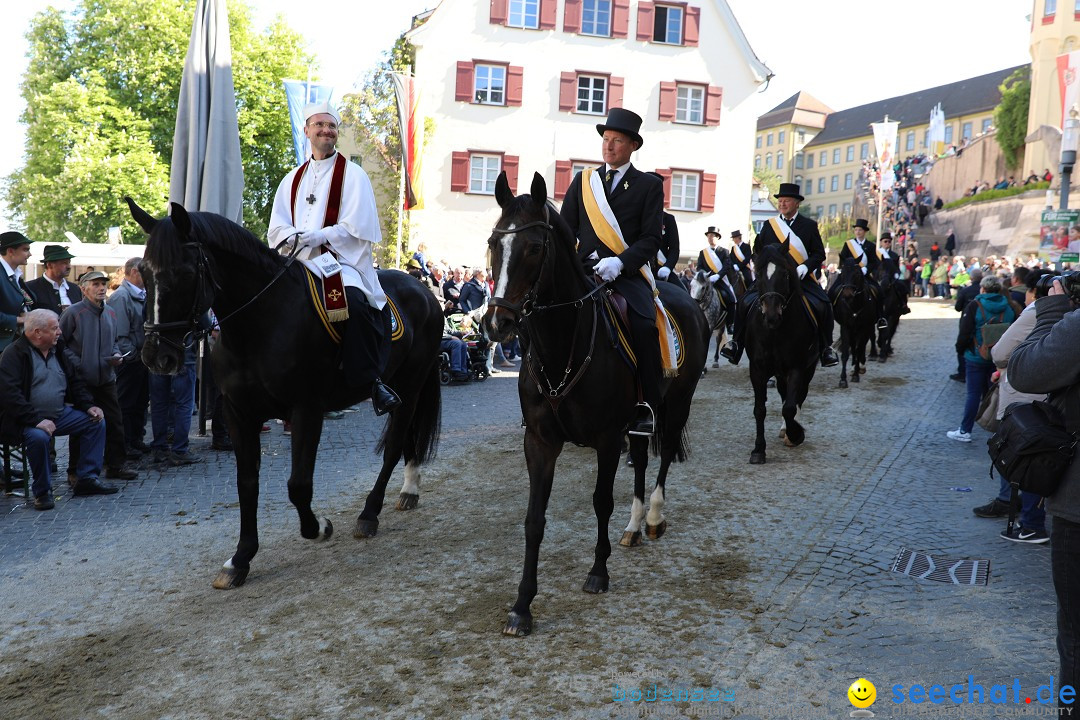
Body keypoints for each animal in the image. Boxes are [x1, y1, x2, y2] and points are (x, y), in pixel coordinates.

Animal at [127, 198, 442, 591]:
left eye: (184, 273)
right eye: (143, 272)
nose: (156, 357)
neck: (259, 326)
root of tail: (425, 291)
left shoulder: (306, 409)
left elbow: (298, 484)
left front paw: (318, 527)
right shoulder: (238, 414)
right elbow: (247, 484)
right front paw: (240, 558)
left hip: (409, 385)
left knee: (396, 443)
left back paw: (370, 513)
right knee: (407, 437)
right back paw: (409, 489)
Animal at [483, 172, 704, 634]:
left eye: (535, 247)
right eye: (494, 242)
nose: (498, 323)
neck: (561, 344)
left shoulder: (606, 438)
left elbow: (601, 501)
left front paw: (598, 573)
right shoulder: (540, 441)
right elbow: (534, 519)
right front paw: (522, 605)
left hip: (678, 403)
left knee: (663, 456)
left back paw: (652, 518)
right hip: (638, 420)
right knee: (641, 459)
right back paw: (634, 526)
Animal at [743, 241, 816, 464]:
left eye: (784, 274)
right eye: (758, 274)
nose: (772, 316)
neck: (775, 332)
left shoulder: (797, 367)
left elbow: (790, 407)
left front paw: (796, 434)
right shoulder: (757, 369)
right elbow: (760, 409)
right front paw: (758, 450)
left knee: (798, 397)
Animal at [829, 254, 872, 386]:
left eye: (857, 273)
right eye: (842, 273)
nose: (847, 294)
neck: (855, 305)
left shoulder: (863, 327)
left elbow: (859, 349)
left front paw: (856, 375)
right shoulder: (845, 327)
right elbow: (846, 353)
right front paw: (843, 379)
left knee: (861, 347)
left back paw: (859, 367)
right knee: (853, 346)